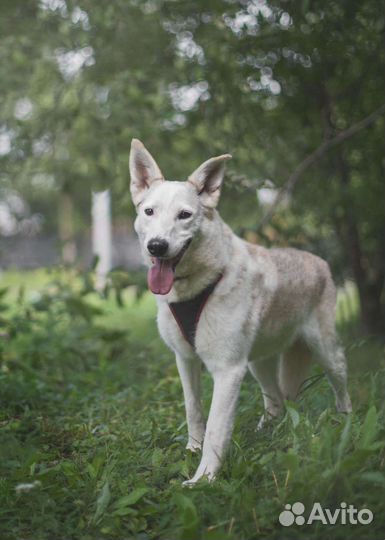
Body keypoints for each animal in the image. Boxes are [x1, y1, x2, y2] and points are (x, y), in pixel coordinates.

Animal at [129, 139, 352, 486]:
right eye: (149, 211)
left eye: (184, 215)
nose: (157, 246)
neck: (199, 285)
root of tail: (319, 261)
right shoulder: (185, 360)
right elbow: (194, 411)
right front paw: (192, 450)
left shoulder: (228, 370)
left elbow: (217, 428)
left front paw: (203, 480)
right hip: (259, 364)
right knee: (276, 402)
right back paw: (265, 435)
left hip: (327, 354)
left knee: (342, 389)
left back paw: (347, 426)